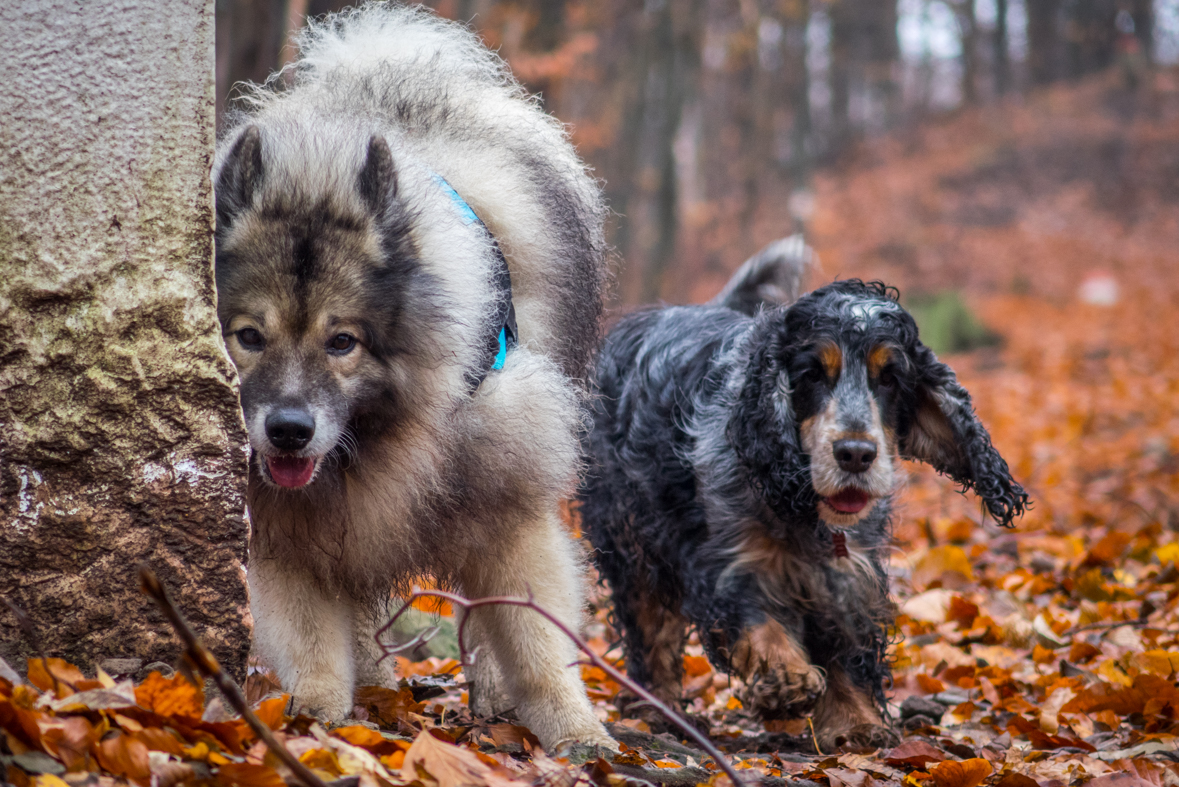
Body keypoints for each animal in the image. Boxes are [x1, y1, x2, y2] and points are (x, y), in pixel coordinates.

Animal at [214, 1, 617, 749]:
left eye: (342, 342)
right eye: (249, 338)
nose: (288, 430)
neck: (377, 442)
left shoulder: (509, 500)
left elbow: (537, 639)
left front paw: (576, 731)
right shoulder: (289, 530)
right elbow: (311, 637)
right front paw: (317, 716)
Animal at [580, 256, 1023, 749]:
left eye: (890, 378)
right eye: (812, 374)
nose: (856, 454)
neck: (803, 508)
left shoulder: (848, 576)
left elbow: (845, 649)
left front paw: (856, 723)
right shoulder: (729, 560)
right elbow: (758, 619)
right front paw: (787, 680)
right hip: (631, 539)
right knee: (650, 629)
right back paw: (659, 710)